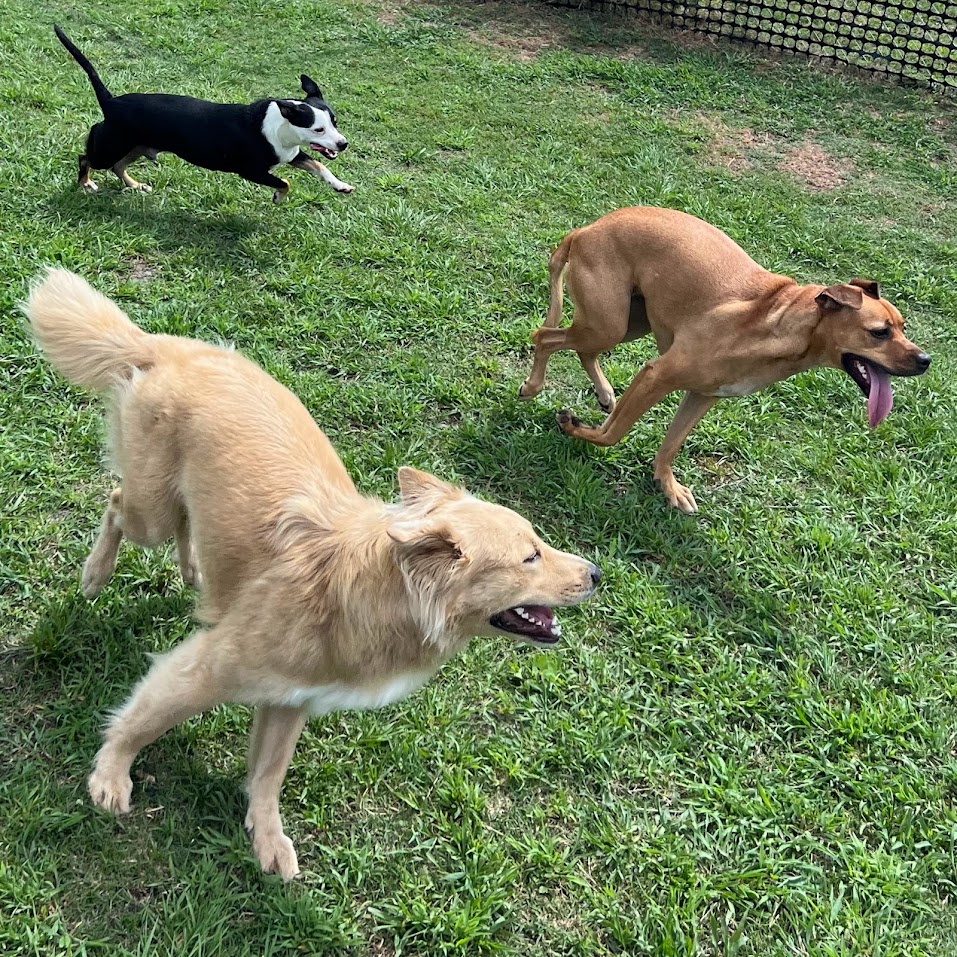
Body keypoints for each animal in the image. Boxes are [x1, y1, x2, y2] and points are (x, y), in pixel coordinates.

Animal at [26, 268, 600, 872]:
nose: (596, 573)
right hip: (148, 512)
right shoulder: (206, 669)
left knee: (183, 526)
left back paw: (195, 573)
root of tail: (167, 346)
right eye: (530, 555)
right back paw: (96, 574)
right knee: (118, 504)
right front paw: (112, 772)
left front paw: (266, 837)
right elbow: (144, 718)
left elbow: (269, 773)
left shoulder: (289, 697)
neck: (370, 597)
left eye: (539, 543)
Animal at [53, 25, 352, 202]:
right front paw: (279, 197)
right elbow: (286, 181)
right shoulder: (251, 171)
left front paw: (341, 185)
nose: (343, 144)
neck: (280, 127)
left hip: (136, 147)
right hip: (110, 146)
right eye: (318, 129)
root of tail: (111, 102)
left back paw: (135, 185)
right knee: (86, 156)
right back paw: (86, 183)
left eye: (335, 122)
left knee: (118, 166)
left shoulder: (292, 155)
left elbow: (319, 165)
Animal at [520, 205, 928, 512]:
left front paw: (668, 486)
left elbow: (670, 444)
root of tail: (586, 229)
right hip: (607, 323)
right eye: (880, 332)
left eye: (903, 327)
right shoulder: (657, 375)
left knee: (580, 348)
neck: (775, 324)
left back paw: (605, 393)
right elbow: (612, 434)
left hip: (627, 322)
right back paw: (533, 385)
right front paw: (574, 427)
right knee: (545, 336)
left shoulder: (703, 396)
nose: (925, 360)